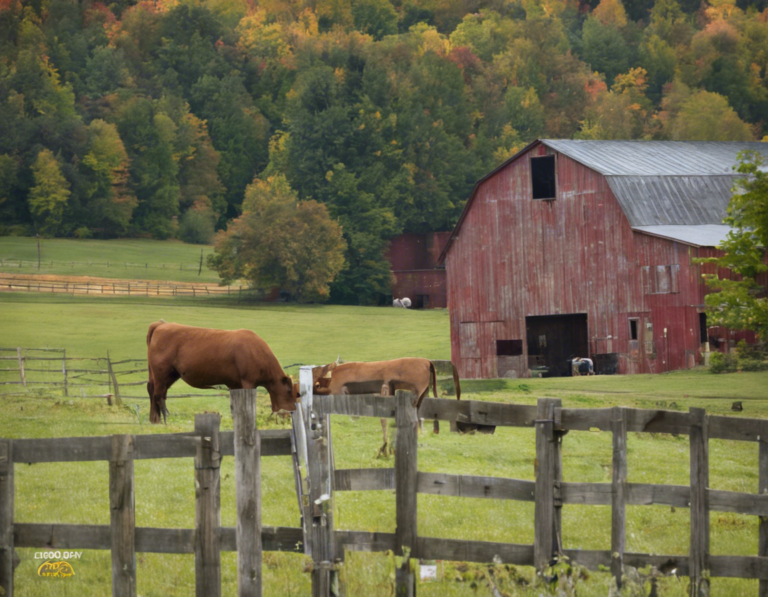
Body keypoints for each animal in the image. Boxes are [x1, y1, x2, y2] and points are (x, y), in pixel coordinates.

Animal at [146, 322, 298, 424]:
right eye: (291, 392)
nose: (292, 412)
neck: (256, 351)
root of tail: (162, 324)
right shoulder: (248, 382)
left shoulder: (234, 383)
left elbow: (235, 406)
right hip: (162, 372)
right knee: (158, 395)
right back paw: (163, 420)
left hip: (169, 375)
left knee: (155, 391)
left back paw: (154, 420)